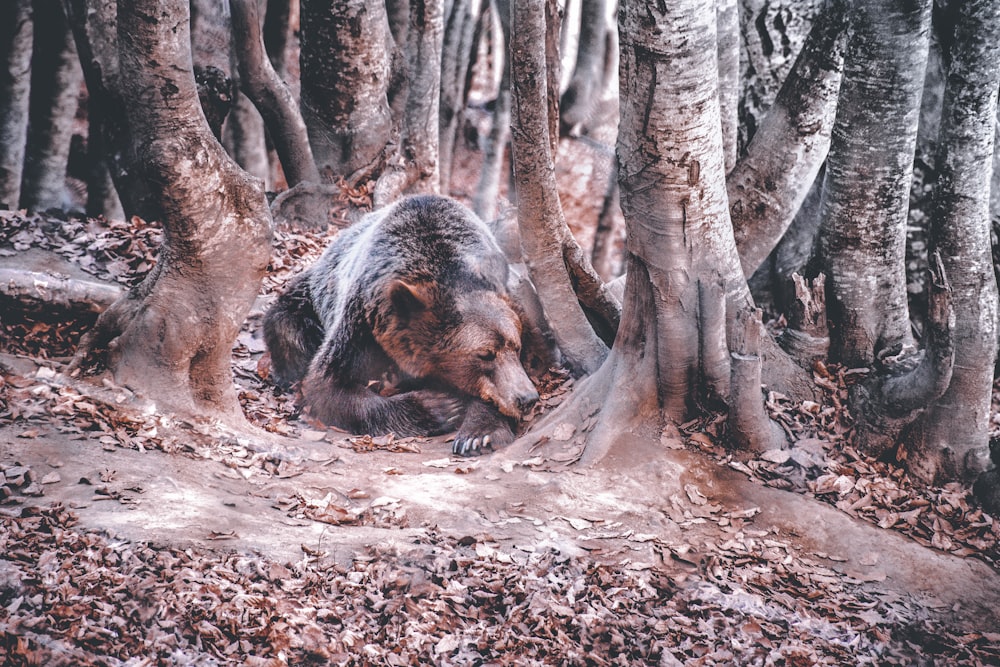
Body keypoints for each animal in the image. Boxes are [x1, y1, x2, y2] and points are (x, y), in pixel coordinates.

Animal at [260, 193, 540, 454]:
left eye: (515, 345)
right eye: (484, 354)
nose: (526, 398)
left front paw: (478, 436)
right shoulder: (362, 322)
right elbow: (327, 384)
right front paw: (440, 406)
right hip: (306, 299)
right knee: (286, 327)